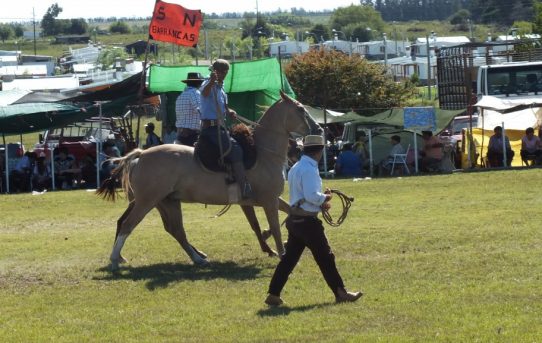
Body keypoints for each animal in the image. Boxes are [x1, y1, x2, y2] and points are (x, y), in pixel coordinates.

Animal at [97, 92, 324, 272]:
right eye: (301, 109)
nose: (319, 129)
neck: (263, 153)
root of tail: (141, 154)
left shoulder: (265, 200)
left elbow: (288, 214)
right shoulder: (269, 200)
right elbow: (275, 226)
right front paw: (280, 251)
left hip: (167, 201)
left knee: (176, 230)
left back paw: (198, 259)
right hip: (147, 202)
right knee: (128, 225)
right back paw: (115, 260)